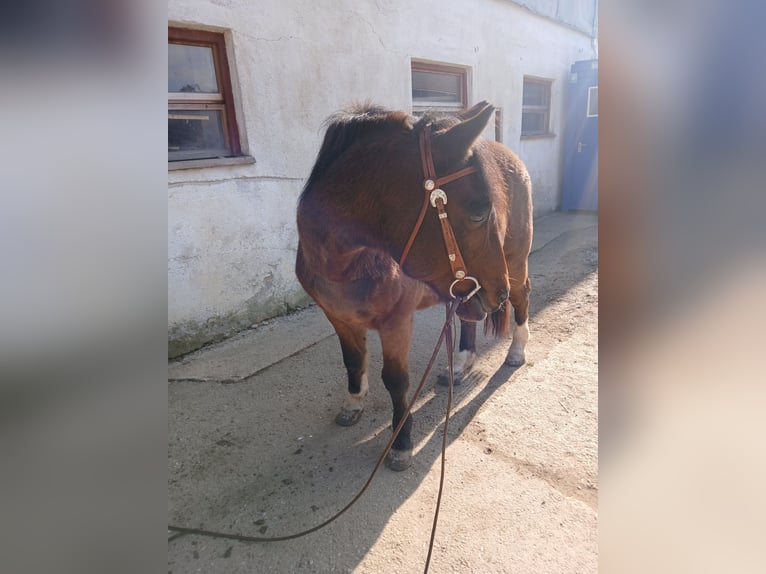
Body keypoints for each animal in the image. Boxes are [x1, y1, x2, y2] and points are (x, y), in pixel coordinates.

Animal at [296, 102, 536, 472]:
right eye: (479, 213)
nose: (498, 294)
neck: (345, 264)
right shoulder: (338, 318)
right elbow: (352, 360)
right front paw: (354, 402)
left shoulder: (397, 323)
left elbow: (396, 381)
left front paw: (401, 442)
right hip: (465, 289)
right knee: (467, 315)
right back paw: (461, 365)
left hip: (513, 263)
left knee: (522, 297)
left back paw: (516, 351)